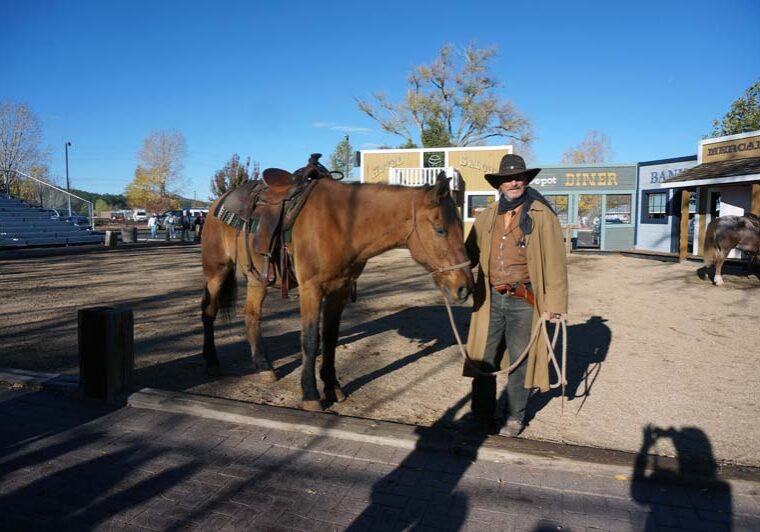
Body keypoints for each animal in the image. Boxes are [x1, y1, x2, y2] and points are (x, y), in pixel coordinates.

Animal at [200, 173, 474, 411]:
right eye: (439, 229)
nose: (465, 287)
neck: (343, 223)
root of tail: (217, 204)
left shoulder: (339, 291)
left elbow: (330, 339)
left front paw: (332, 386)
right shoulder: (311, 289)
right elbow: (311, 340)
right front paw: (310, 395)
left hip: (257, 279)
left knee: (252, 317)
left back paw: (264, 367)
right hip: (217, 271)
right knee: (208, 312)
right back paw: (211, 362)